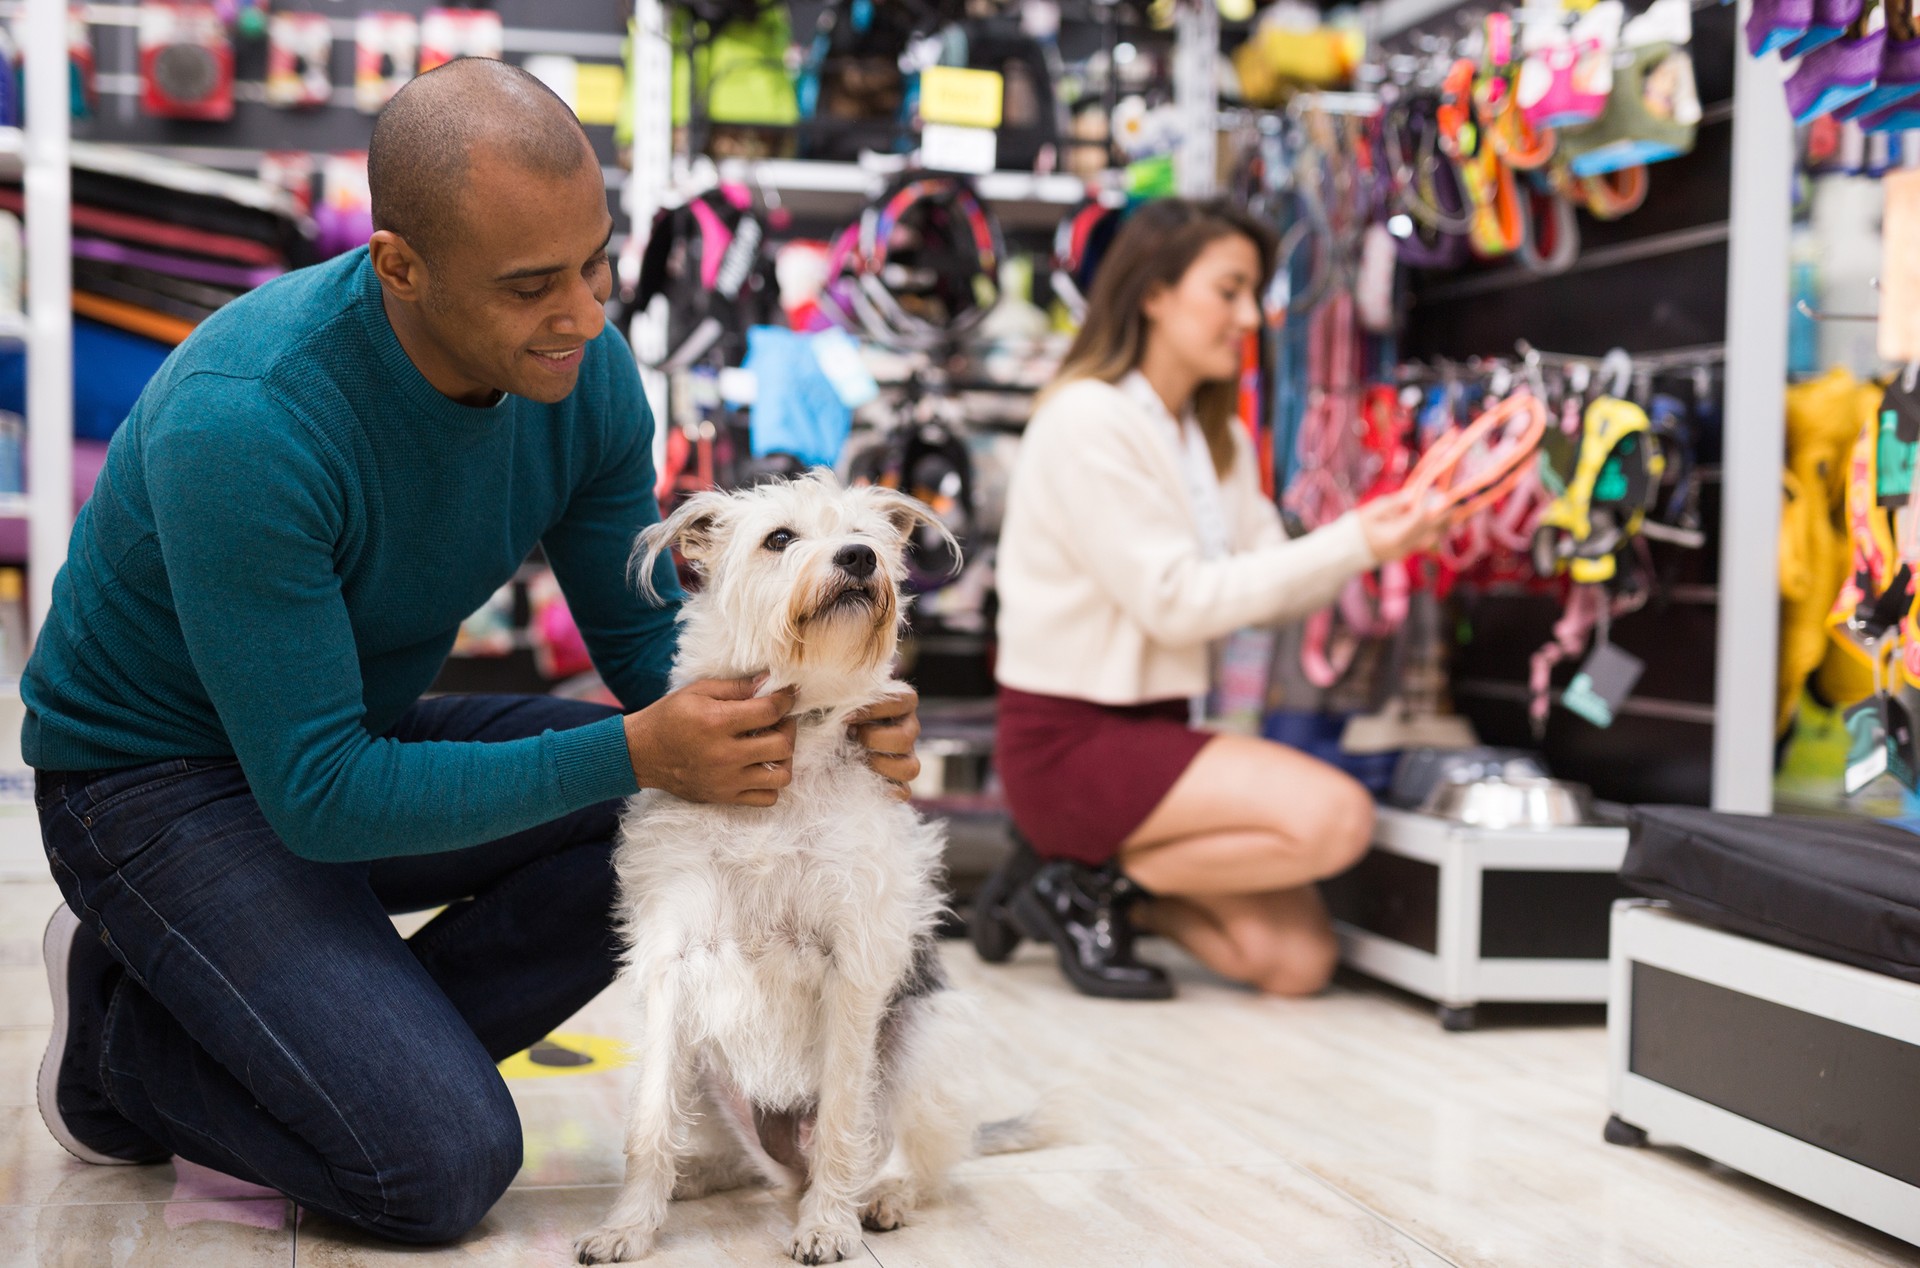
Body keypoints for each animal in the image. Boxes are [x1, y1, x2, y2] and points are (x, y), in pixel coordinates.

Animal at [576, 476, 1036, 1268]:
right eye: (780, 539)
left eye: (868, 537)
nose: (857, 558)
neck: (797, 734)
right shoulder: (670, 963)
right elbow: (649, 1123)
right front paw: (630, 1223)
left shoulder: (852, 965)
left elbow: (845, 1117)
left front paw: (828, 1225)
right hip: (707, 1071)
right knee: (734, 1158)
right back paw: (695, 1179)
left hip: (924, 1040)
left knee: (905, 1160)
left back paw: (876, 1197)